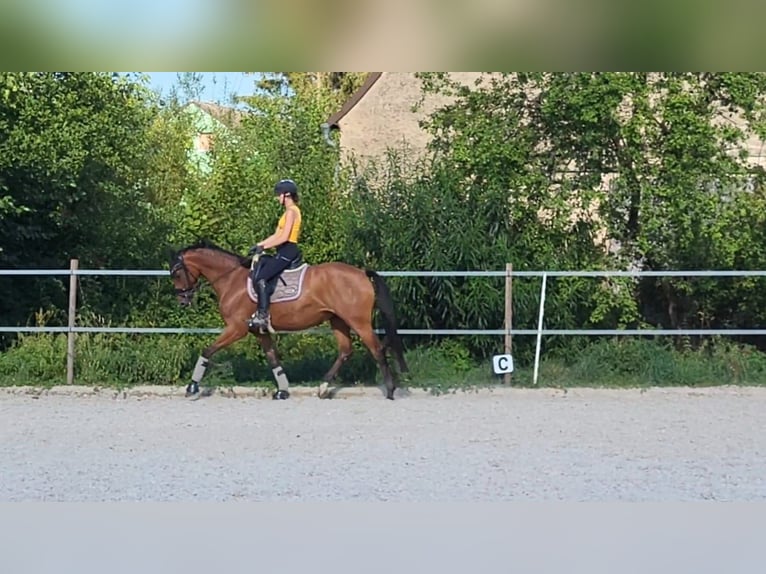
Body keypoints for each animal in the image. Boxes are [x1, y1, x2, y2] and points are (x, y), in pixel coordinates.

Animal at [168, 238, 408, 400]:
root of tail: (361, 273)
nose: (182, 301)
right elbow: (273, 359)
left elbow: (207, 351)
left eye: (177, 273)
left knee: (377, 349)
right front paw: (282, 390)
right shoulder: (258, 331)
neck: (232, 279)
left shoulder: (237, 329)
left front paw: (192, 387)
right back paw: (322, 387)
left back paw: (390, 390)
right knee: (345, 351)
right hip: (338, 320)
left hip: (358, 321)